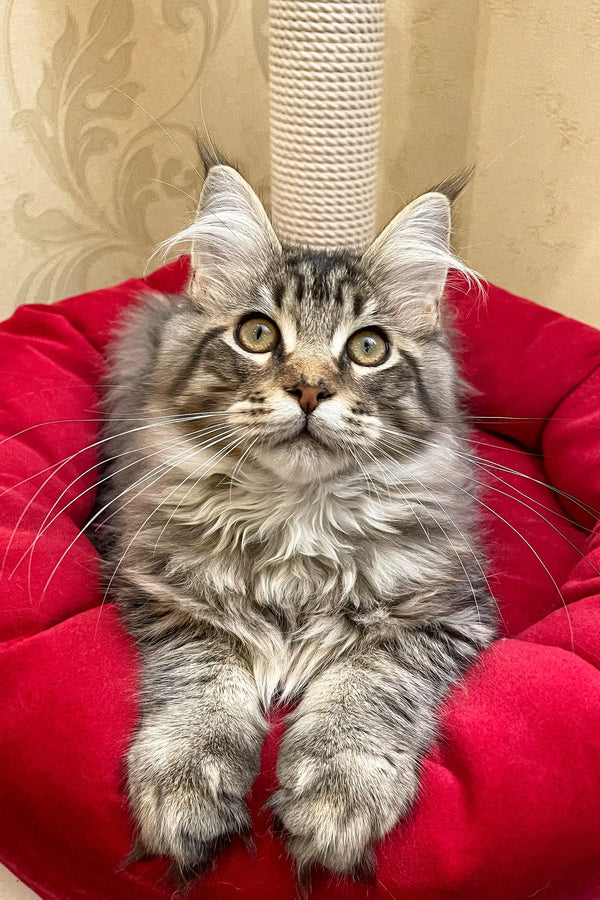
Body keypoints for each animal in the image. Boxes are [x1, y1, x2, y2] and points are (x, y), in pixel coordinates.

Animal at [102, 162, 496, 884]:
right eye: (257, 334)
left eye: (368, 347)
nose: (310, 389)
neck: (298, 517)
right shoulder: (163, 589)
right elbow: (203, 678)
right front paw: (187, 782)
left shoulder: (446, 610)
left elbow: (370, 687)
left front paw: (338, 795)